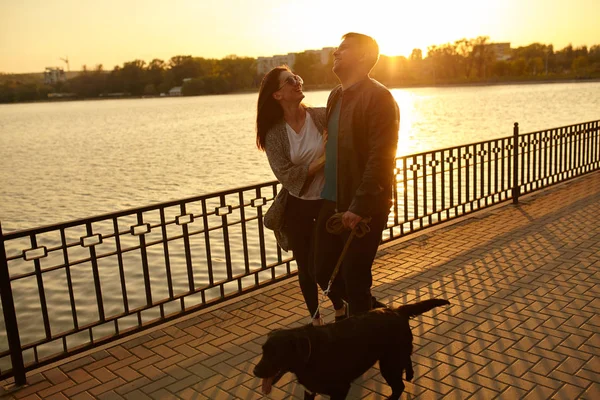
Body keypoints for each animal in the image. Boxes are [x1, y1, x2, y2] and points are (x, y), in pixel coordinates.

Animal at [253, 298, 450, 398]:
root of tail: (396, 310)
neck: (310, 355)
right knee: (407, 358)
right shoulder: (309, 391)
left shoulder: (340, 389)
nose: (255, 371)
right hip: (396, 354)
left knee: (398, 387)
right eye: (263, 351)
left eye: (275, 353)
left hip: (388, 363)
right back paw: (409, 374)